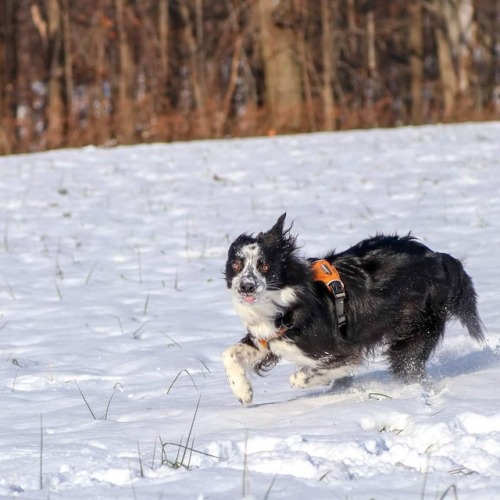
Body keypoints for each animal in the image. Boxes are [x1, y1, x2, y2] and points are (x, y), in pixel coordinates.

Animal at [223, 213, 484, 404]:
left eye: (264, 265)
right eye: (236, 264)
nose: (246, 286)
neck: (284, 300)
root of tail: (439, 257)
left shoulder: (339, 350)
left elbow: (303, 376)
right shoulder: (268, 338)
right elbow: (229, 354)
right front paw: (243, 391)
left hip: (414, 329)